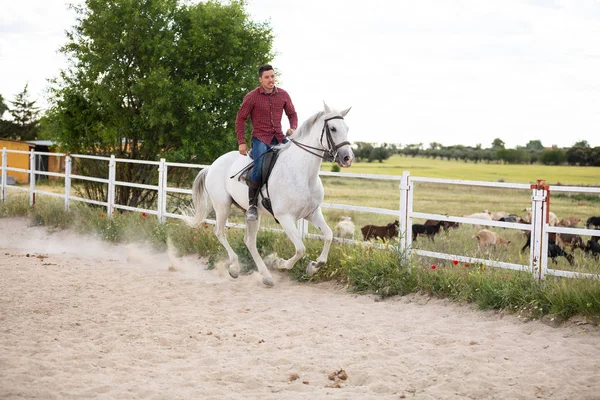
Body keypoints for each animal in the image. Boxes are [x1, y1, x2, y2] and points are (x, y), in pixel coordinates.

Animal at [185, 101, 354, 286]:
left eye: (347, 128)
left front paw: (314, 266)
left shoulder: (312, 213)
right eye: (332, 128)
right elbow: (300, 249)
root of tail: (211, 166)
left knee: (249, 241)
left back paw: (266, 276)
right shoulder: (285, 218)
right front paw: (278, 262)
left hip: (250, 213)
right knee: (220, 232)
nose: (347, 158)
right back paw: (235, 267)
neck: (302, 173)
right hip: (222, 206)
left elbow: (329, 236)